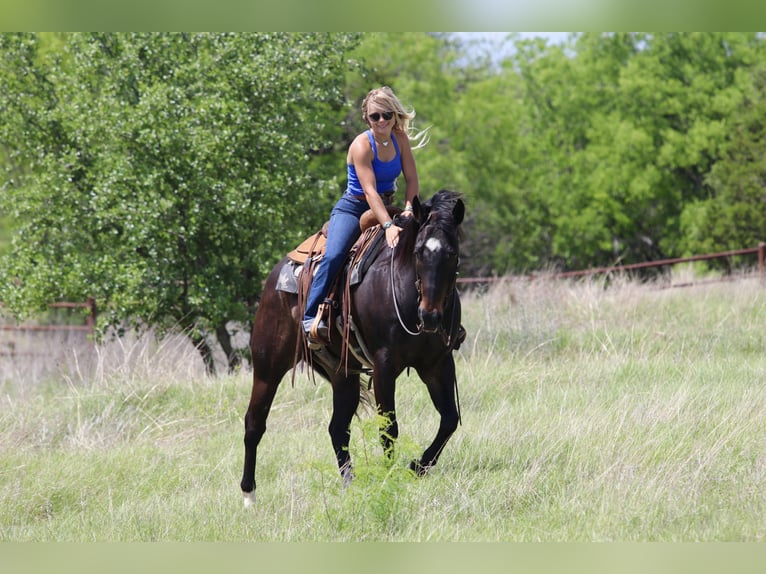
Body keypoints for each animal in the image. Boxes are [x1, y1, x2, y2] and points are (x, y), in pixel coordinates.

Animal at [240, 189, 465, 507]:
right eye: (419, 252)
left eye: (452, 253)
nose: (430, 316)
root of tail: (275, 276)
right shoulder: (385, 367)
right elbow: (388, 428)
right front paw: (390, 477)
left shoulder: (438, 364)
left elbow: (449, 420)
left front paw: (415, 467)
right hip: (267, 365)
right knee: (254, 423)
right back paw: (249, 495)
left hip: (342, 372)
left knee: (337, 428)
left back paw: (349, 482)